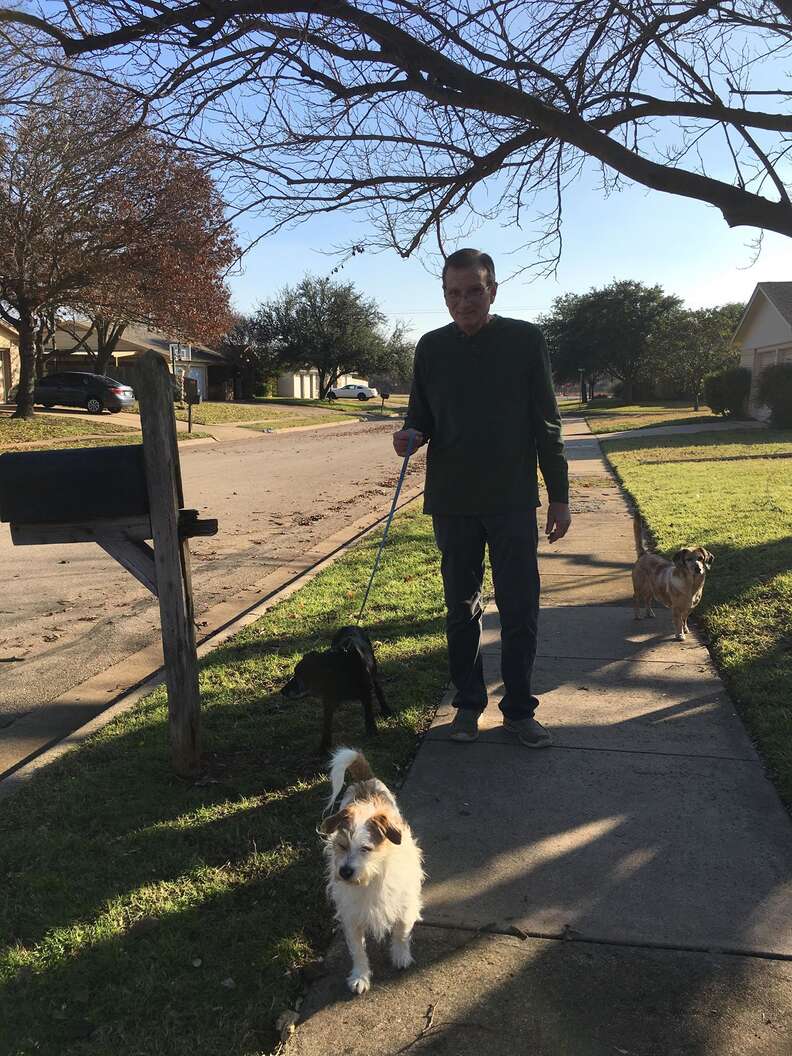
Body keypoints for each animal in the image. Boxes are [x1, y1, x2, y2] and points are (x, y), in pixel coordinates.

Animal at [318, 747, 424, 992]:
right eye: (342, 846)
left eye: (366, 848)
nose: (345, 872)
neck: (372, 878)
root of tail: (365, 780)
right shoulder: (351, 916)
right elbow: (358, 950)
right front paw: (360, 976)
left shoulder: (403, 904)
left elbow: (402, 932)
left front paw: (401, 956)